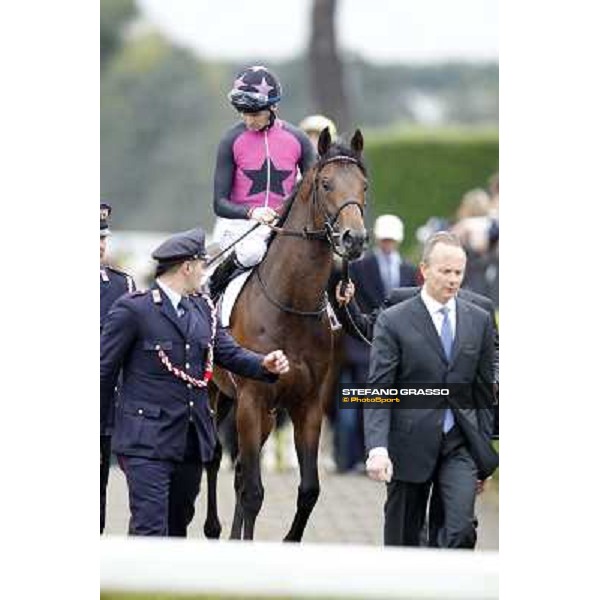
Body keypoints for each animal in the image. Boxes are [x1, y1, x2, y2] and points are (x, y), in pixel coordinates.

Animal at [206, 129, 368, 540]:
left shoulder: (307, 405)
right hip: (218, 394)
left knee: (239, 468)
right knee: (213, 456)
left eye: (364, 185)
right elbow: (253, 491)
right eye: (326, 184)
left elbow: (308, 490)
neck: (290, 305)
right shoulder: (252, 399)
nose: (354, 239)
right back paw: (213, 529)